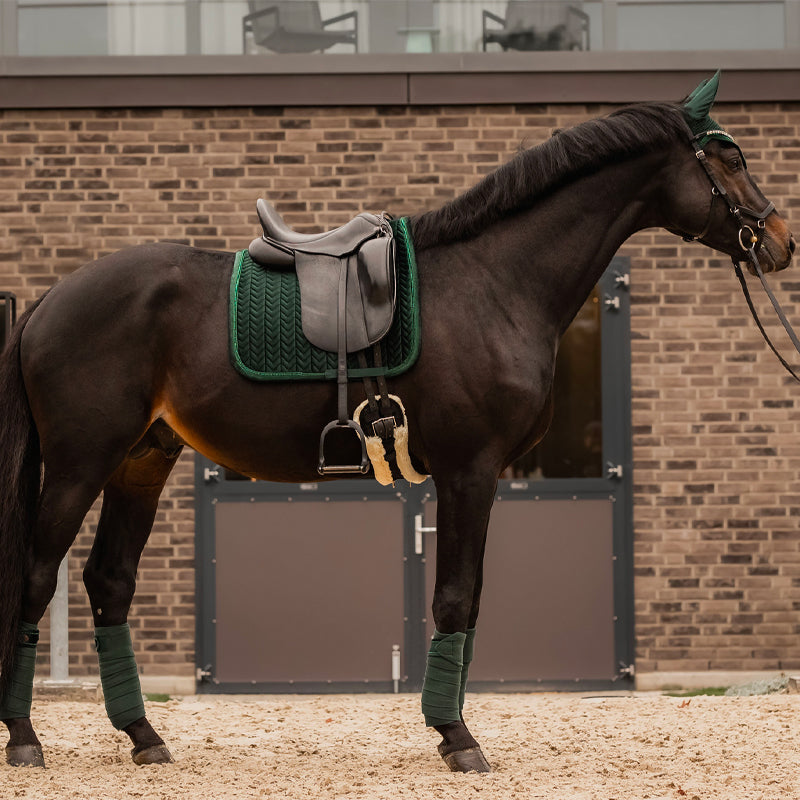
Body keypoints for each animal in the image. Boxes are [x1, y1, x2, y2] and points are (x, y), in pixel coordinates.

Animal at [0, 78, 792, 772]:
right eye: (728, 158)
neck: (493, 283)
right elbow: (456, 599)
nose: (780, 240)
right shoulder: (470, 470)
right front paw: (457, 738)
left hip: (141, 461)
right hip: (78, 465)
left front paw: (452, 729)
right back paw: (25, 738)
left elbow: (467, 604)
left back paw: (144, 737)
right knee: (36, 575)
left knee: (108, 581)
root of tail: (50, 299)